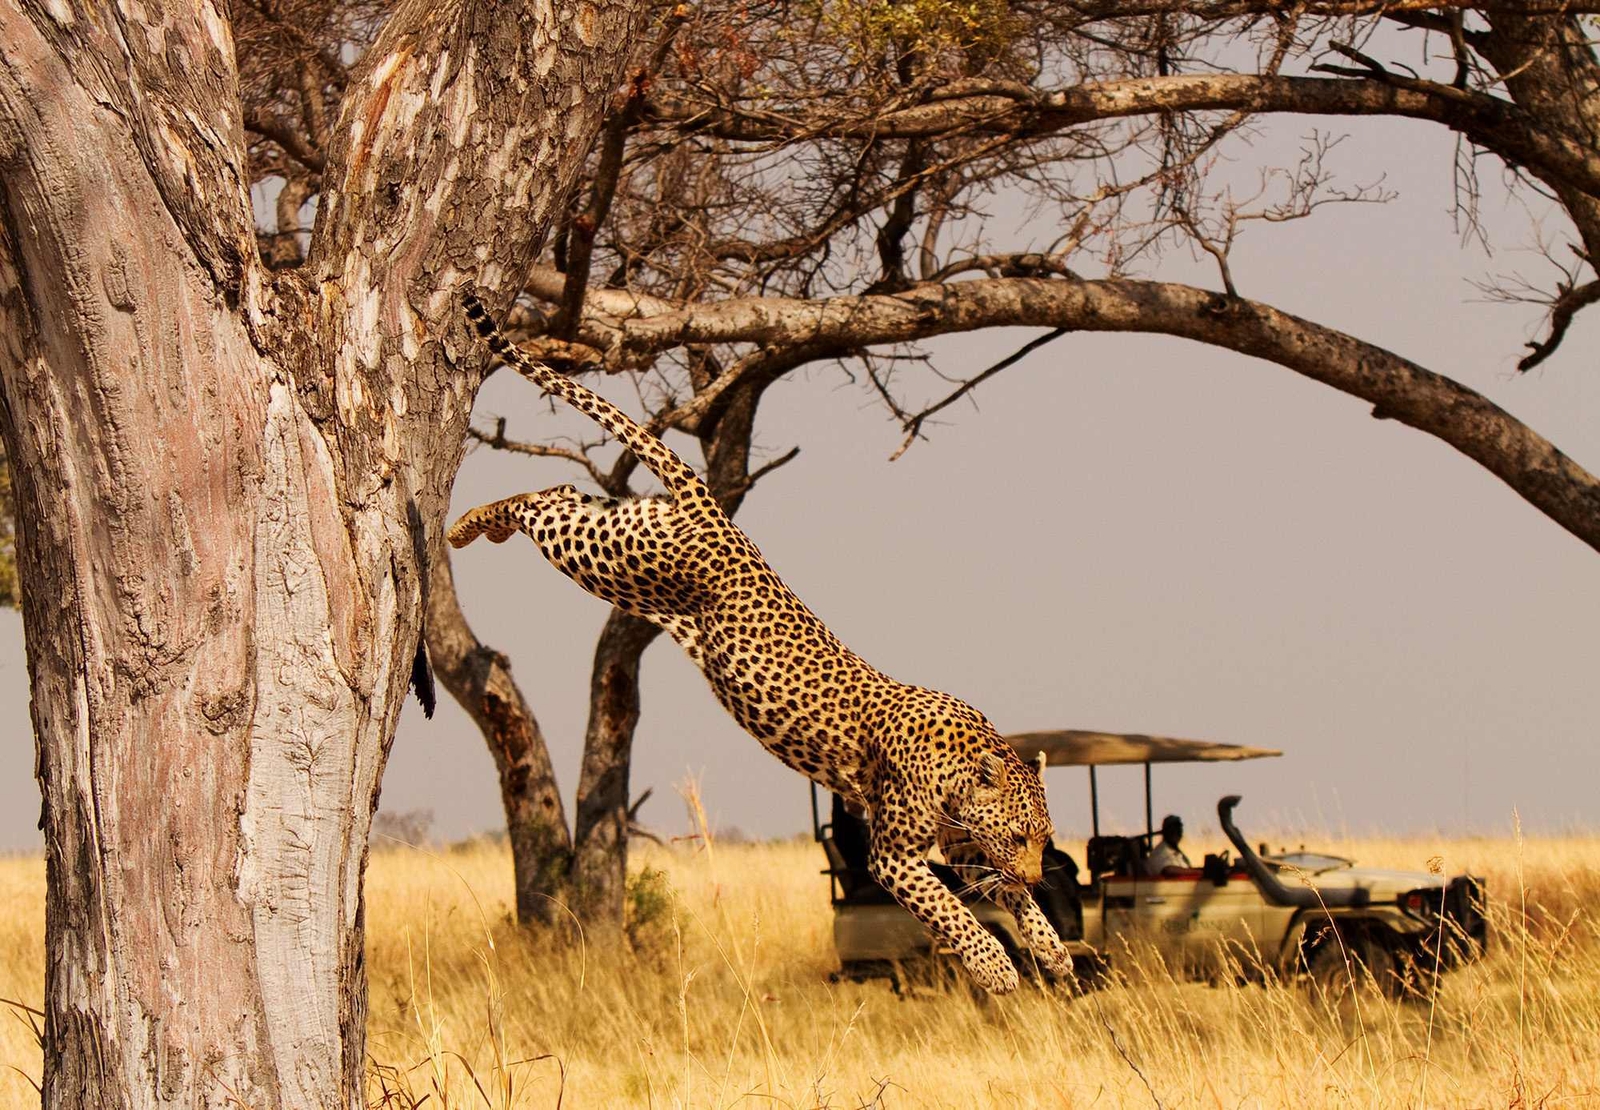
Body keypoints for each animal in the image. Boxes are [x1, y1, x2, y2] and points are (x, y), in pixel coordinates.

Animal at [447, 290, 1070, 993]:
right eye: (1020, 836)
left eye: (1044, 838)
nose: (1038, 868)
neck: (962, 768)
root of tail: (712, 507)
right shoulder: (894, 856)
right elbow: (951, 911)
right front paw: (995, 967)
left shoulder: (960, 844)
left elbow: (1005, 896)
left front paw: (1051, 946)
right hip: (612, 559)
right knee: (542, 504)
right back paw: (467, 525)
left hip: (619, 538)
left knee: (562, 491)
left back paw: (477, 523)